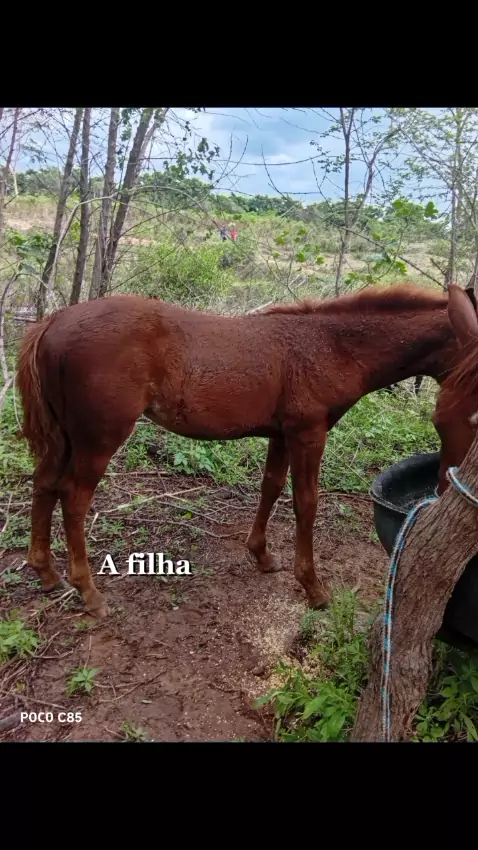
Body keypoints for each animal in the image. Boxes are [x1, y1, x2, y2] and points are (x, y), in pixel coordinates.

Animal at [16, 284, 471, 620]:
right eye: (467, 415)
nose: (445, 482)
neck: (332, 346)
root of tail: (54, 320)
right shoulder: (308, 433)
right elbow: (306, 503)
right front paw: (313, 587)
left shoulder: (281, 434)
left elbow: (270, 487)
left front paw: (262, 555)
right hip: (98, 438)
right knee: (73, 497)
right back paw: (89, 593)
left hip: (64, 436)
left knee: (44, 483)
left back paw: (47, 572)